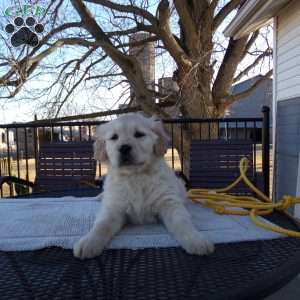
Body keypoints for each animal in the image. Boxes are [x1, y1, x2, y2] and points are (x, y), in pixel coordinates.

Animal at [73, 112, 213, 258]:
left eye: (139, 134)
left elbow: (182, 221)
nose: (124, 148)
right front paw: (89, 242)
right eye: (114, 137)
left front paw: (196, 239)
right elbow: (101, 225)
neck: (136, 176)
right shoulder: (113, 207)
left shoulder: (169, 203)